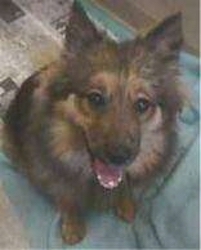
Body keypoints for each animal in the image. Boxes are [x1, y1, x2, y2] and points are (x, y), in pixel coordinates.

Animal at [3, 1, 184, 244]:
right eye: (95, 98)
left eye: (142, 104)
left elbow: (125, 188)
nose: (119, 156)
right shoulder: (55, 173)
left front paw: (126, 205)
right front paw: (73, 225)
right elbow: (67, 196)